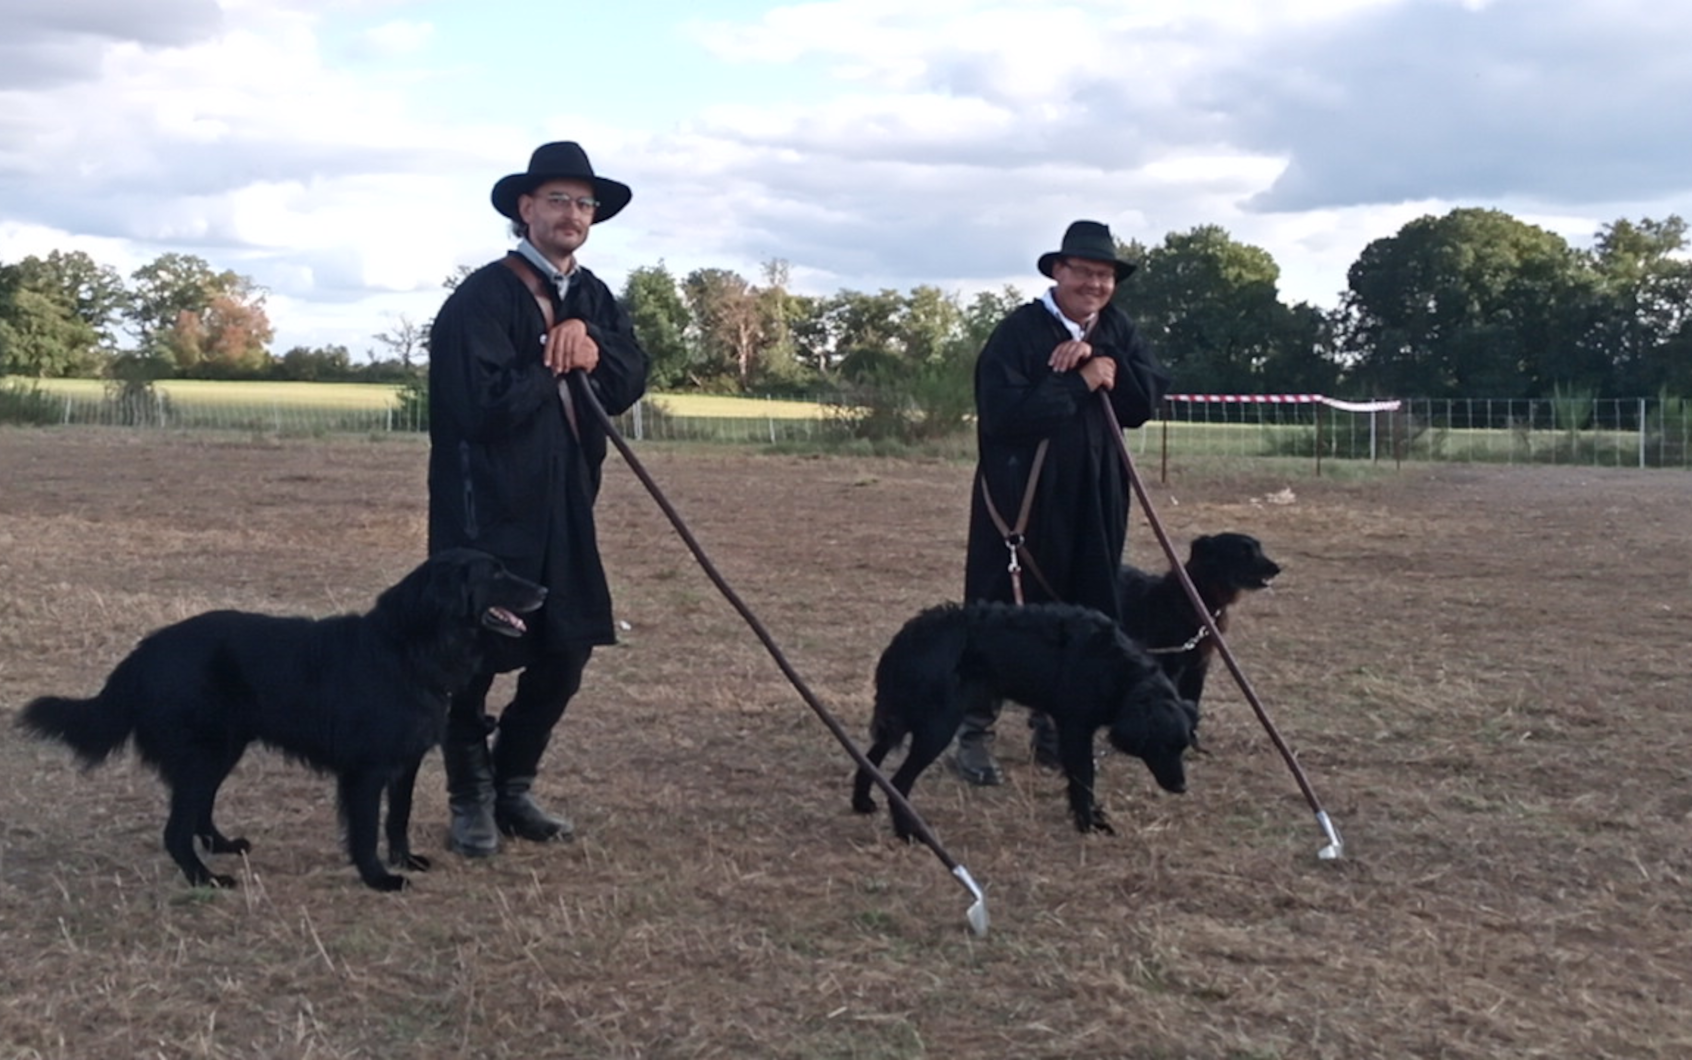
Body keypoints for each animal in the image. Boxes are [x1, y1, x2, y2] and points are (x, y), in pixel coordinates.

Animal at [19, 548, 548, 887]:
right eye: (496, 573)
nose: (544, 588)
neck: (409, 645)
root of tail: (143, 653)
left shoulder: (406, 761)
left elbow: (398, 817)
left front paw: (406, 860)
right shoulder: (366, 770)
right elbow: (363, 830)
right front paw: (378, 878)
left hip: (221, 750)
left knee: (198, 812)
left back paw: (222, 846)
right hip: (204, 752)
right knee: (175, 829)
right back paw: (206, 879)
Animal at [852, 599, 1197, 836]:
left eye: (1183, 746)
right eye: (1163, 745)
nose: (1182, 787)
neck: (1117, 668)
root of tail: (908, 636)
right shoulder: (1075, 728)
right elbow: (1083, 779)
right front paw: (1088, 824)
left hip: (904, 718)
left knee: (870, 759)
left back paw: (861, 803)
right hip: (937, 726)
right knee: (899, 781)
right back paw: (907, 832)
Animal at [1116, 528, 1272, 711]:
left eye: (1259, 549)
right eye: (1243, 552)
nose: (1277, 568)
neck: (1199, 596)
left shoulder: (1198, 666)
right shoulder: (1170, 664)